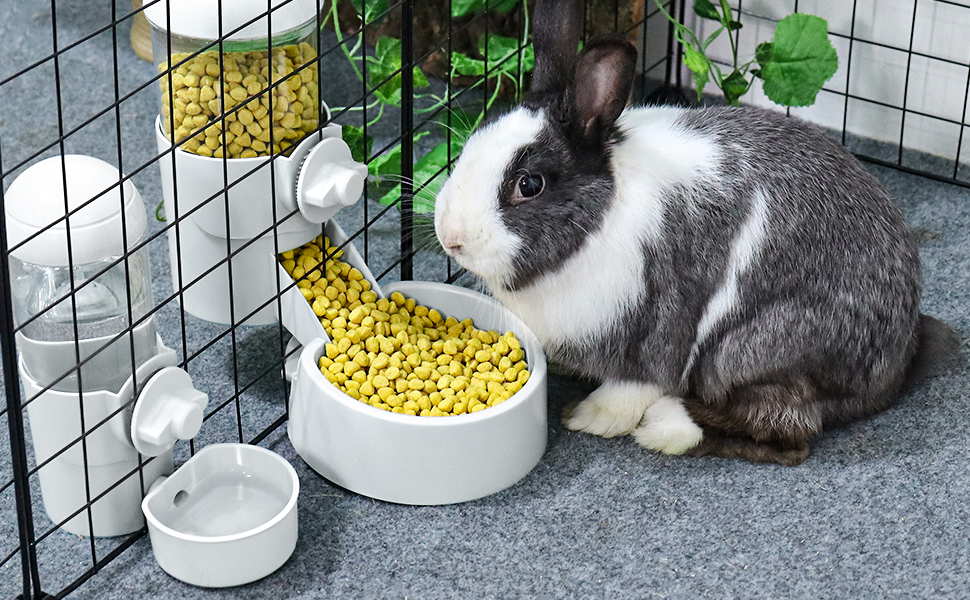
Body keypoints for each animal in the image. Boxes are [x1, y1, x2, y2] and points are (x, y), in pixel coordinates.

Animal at [433, 0, 945, 466]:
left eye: (529, 185)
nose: (450, 237)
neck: (600, 220)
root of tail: (898, 361)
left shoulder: (657, 327)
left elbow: (636, 383)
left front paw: (592, 418)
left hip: (754, 348)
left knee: (787, 431)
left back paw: (665, 427)